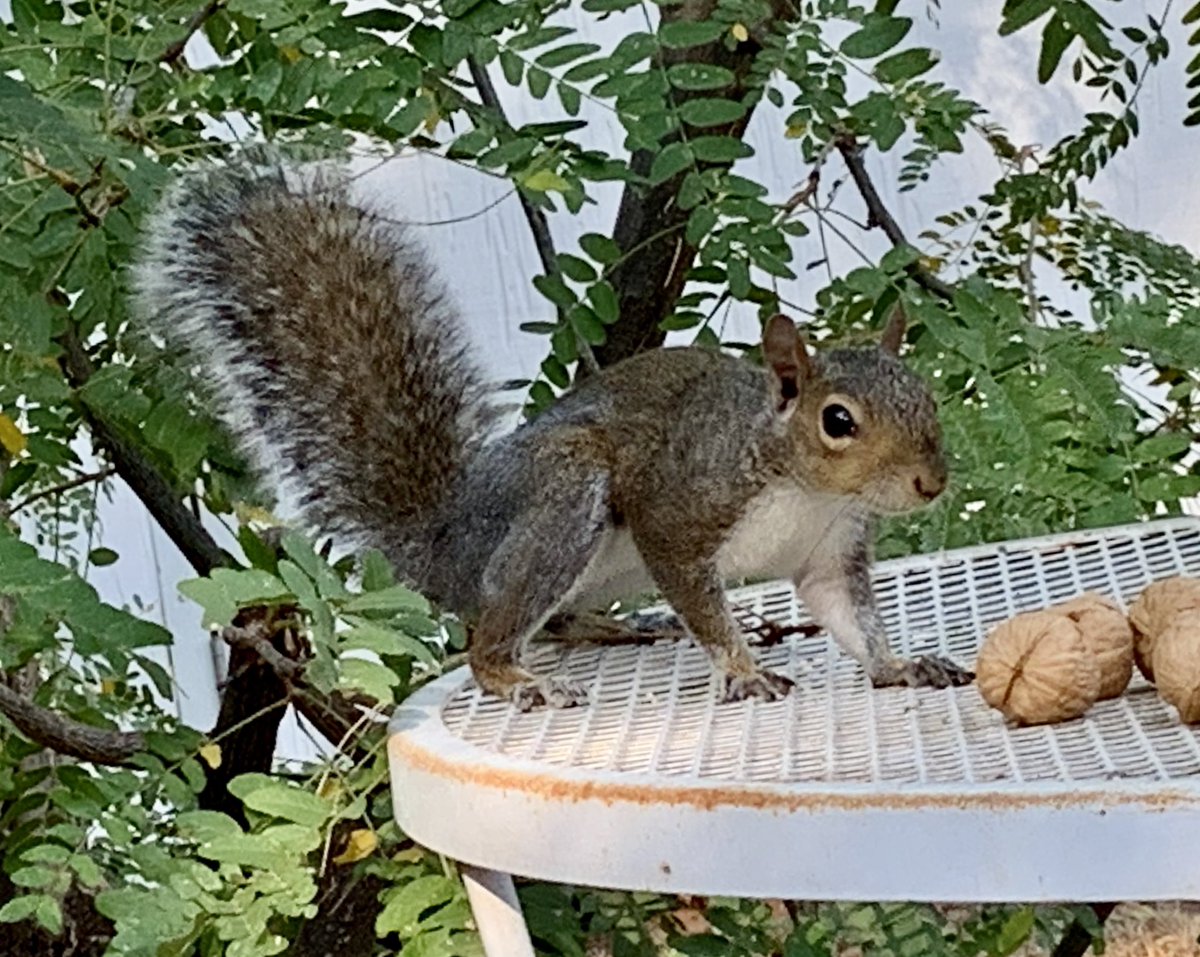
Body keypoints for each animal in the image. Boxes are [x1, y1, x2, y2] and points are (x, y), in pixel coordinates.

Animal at [136, 160, 974, 709]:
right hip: (566, 492)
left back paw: (619, 628)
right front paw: (740, 669)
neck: (800, 485)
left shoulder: (830, 550)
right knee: (489, 636)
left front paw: (899, 665)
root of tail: (443, 545)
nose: (931, 481)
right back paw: (517, 678)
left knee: (556, 618)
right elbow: (704, 602)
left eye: (925, 395)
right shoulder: (678, 509)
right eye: (838, 420)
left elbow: (849, 616)